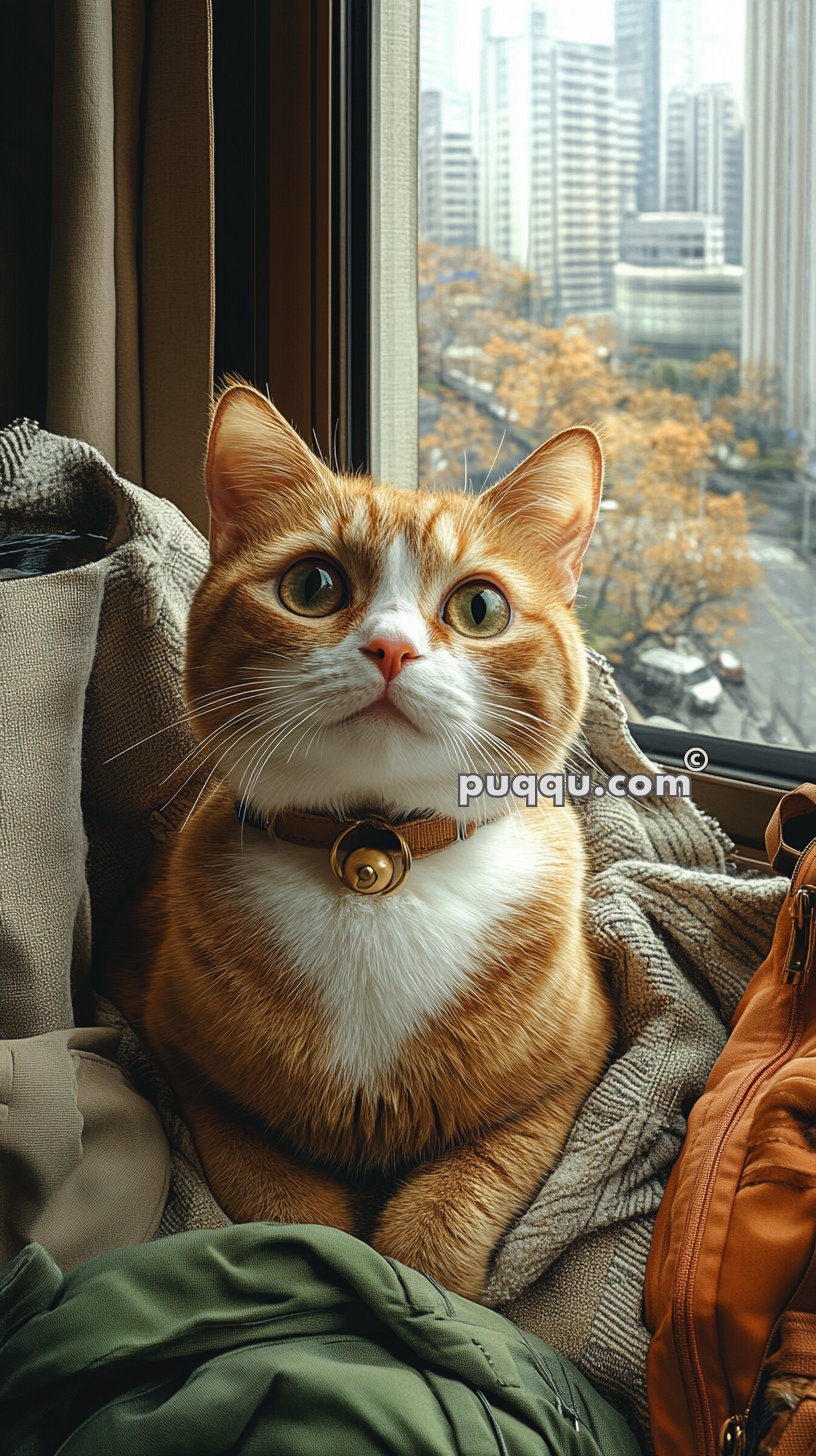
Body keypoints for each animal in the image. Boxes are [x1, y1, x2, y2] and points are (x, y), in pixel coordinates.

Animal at [111, 384, 614, 1298]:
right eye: (312, 585)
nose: (391, 647)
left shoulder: (565, 1081)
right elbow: (285, 1206)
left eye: (480, 606)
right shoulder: (186, 1064)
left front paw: (422, 1287)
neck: (373, 860)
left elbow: (454, 1206)